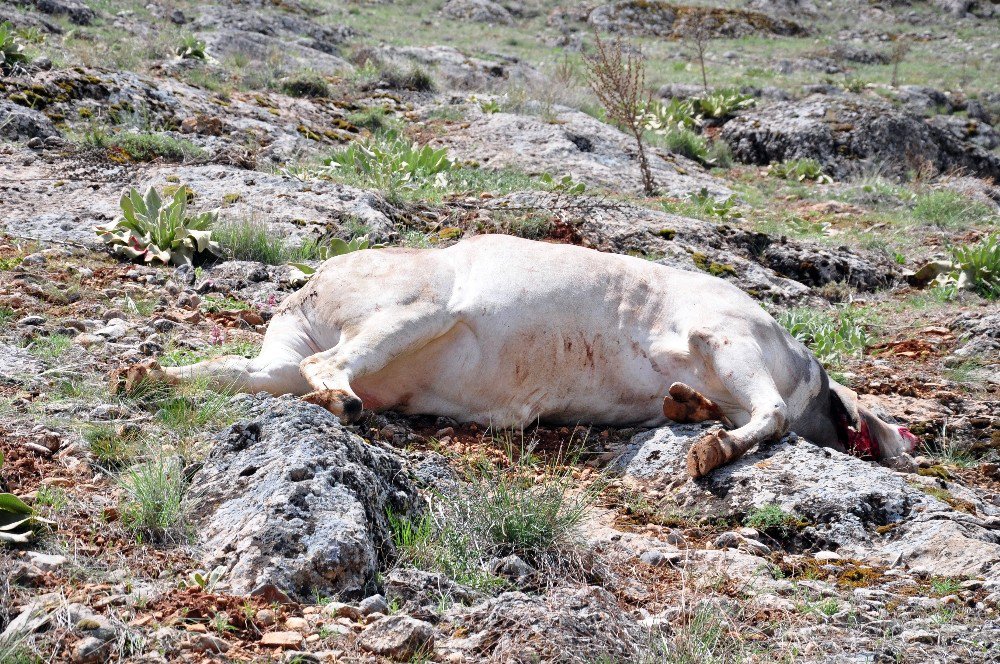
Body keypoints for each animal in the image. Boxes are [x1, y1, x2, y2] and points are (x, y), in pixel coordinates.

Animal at [115, 233, 916, 478]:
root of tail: (313, 283)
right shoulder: (726, 332)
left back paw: (145, 374)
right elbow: (770, 413)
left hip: (300, 350)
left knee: (252, 373)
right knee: (324, 372)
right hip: (416, 311)